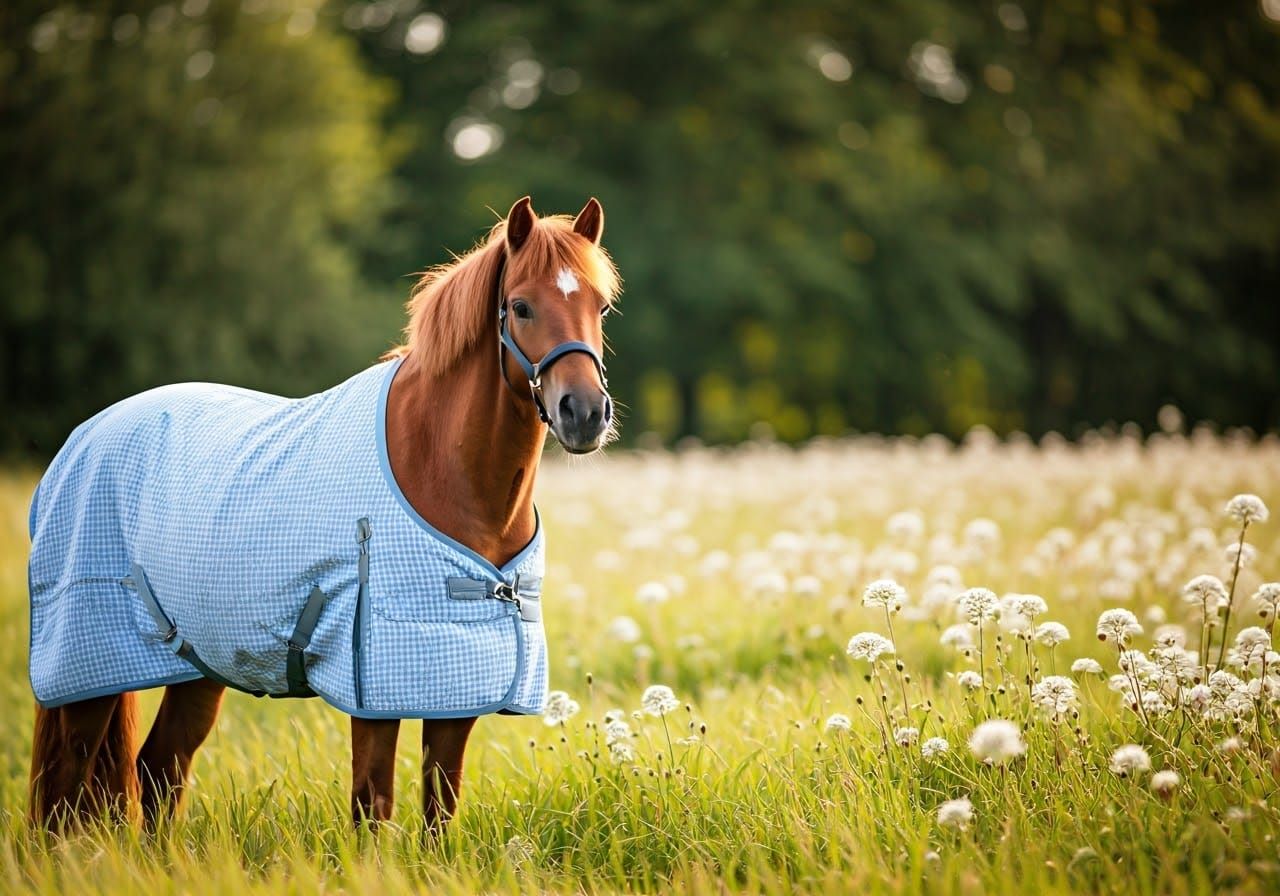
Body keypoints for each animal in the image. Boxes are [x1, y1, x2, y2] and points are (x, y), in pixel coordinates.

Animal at [27, 196, 620, 832]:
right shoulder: (374, 688)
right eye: (521, 306)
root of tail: (86, 436)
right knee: (67, 782)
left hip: (199, 665)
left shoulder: (456, 684)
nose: (585, 413)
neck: (442, 468)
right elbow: (372, 807)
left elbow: (439, 811)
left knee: (160, 769)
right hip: (89, 671)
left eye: (600, 305)